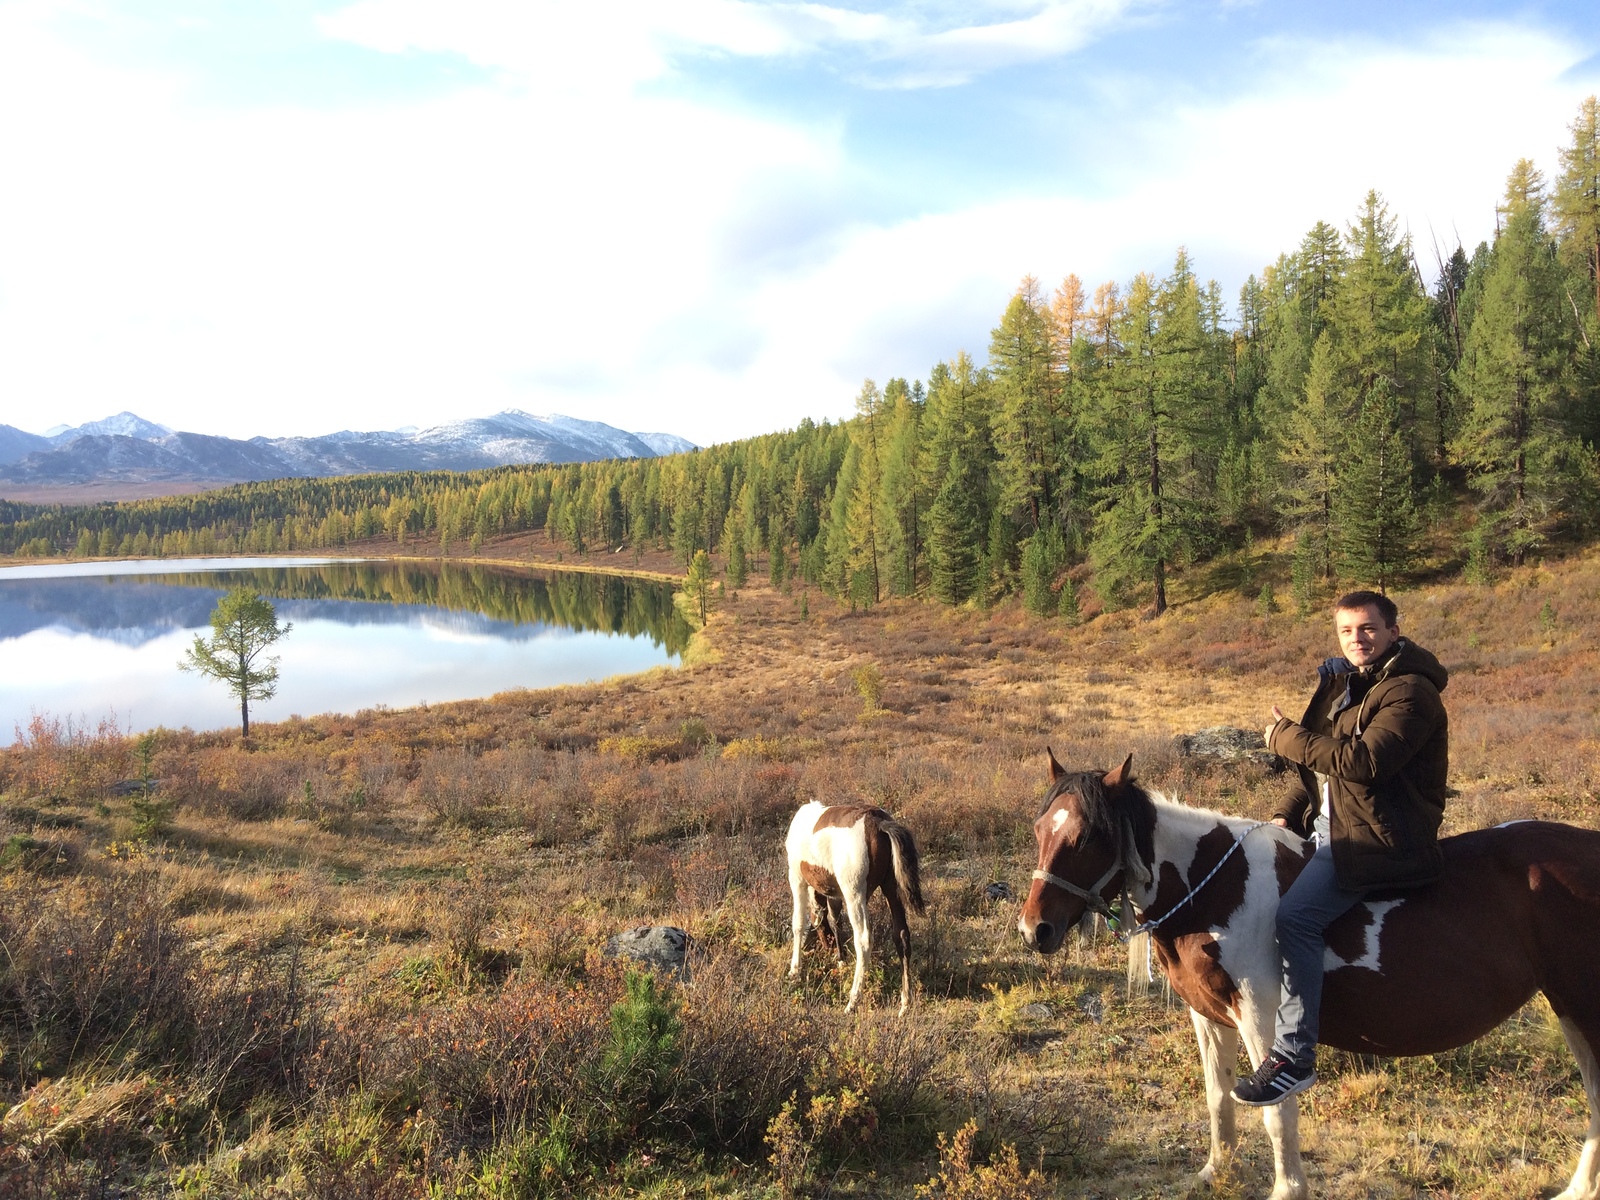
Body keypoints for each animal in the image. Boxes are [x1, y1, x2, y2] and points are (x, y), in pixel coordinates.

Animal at [784, 803, 928, 1017]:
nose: (827, 948)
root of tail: (878, 822)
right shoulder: (835, 894)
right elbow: (836, 920)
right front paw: (840, 960)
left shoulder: (797, 879)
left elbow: (799, 924)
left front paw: (794, 971)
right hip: (891, 887)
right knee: (901, 935)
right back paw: (904, 1003)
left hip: (855, 894)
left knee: (863, 940)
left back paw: (852, 1001)